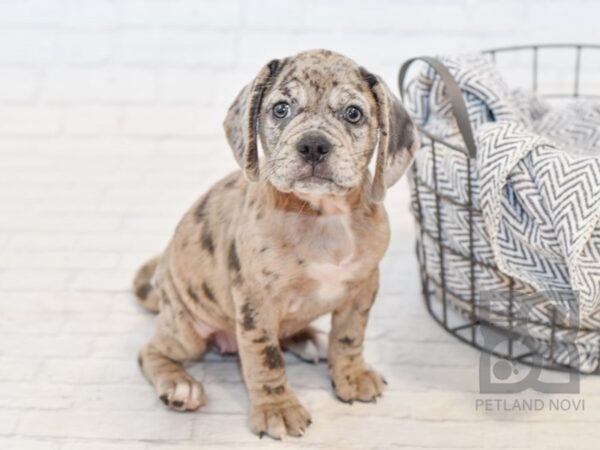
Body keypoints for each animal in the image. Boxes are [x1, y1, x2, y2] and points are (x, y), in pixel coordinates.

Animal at [135, 49, 418, 440]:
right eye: (281, 109)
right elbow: (265, 358)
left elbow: (349, 336)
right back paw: (180, 385)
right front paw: (277, 408)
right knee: (149, 352)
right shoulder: (257, 304)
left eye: (353, 113)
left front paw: (351, 374)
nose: (313, 145)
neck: (323, 216)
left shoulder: (362, 289)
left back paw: (309, 338)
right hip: (187, 330)